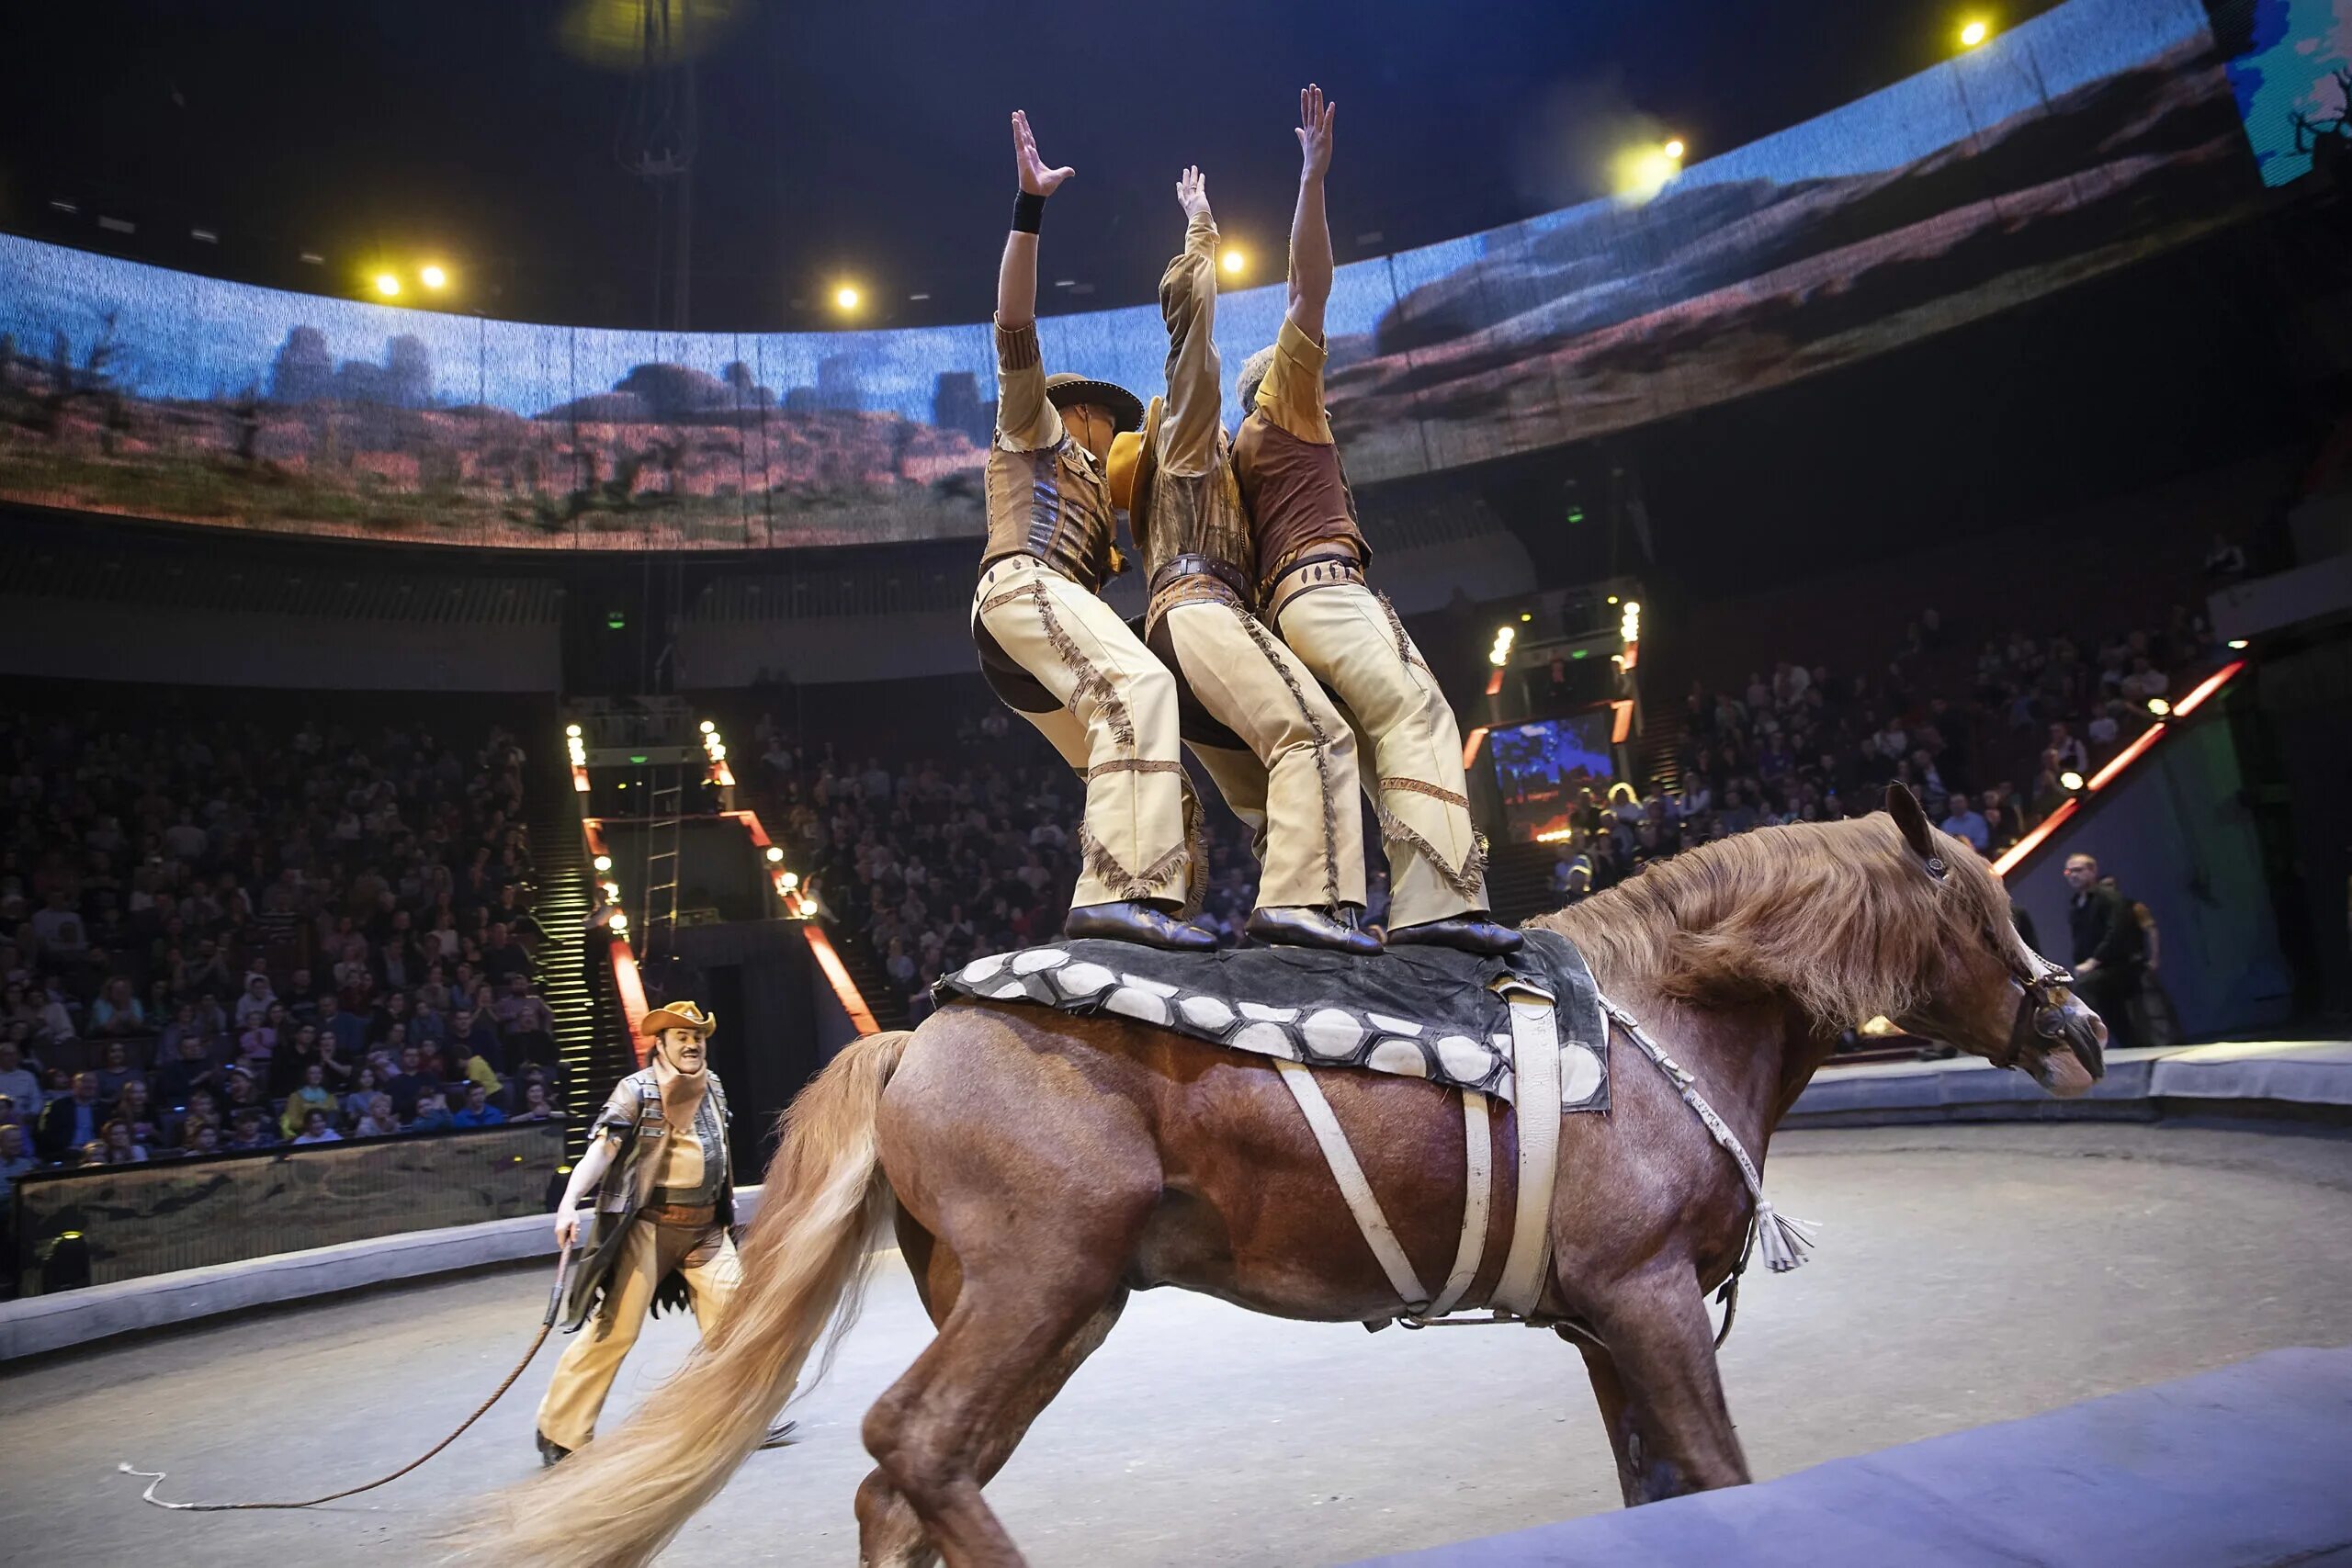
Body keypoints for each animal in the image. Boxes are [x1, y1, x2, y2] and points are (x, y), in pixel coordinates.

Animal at [458, 789, 2098, 1561]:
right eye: (1986, 903)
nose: (2077, 1022)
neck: (1655, 1011)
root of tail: (921, 1035)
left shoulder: (1607, 1321)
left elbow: (1663, 1487)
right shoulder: (1645, 1300)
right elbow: (1718, 1469)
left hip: (1041, 1305)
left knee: (904, 1481)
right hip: (1042, 1281)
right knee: (911, 1447)